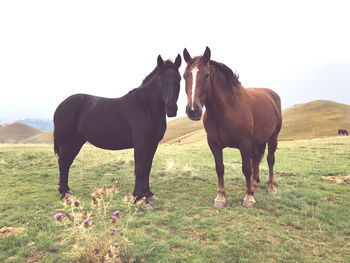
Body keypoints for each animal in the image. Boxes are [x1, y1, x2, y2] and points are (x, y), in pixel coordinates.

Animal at [54, 54, 183, 209]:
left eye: (179, 79)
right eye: (160, 80)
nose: (171, 109)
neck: (145, 107)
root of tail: (61, 105)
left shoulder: (153, 144)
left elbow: (147, 168)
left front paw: (148, 195)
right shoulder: (141, 144)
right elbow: (140, 169)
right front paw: (139, 200)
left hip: (76, 142)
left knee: (66, 164)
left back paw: (66, 190)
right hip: (67, 143)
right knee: (63, 163)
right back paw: (63, 193)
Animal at [182, 47, 284, 208]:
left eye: (206, 75)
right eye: (185, 76)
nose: (193, 110)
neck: (226, 109)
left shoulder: (244, 143)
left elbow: (246, 169)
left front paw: (249, 197)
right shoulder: (214, 144)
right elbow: (219, 168)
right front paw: (220, 197)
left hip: (273, 137)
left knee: (270, 160)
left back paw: (271, 187)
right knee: (256, 158)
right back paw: (255, 182)